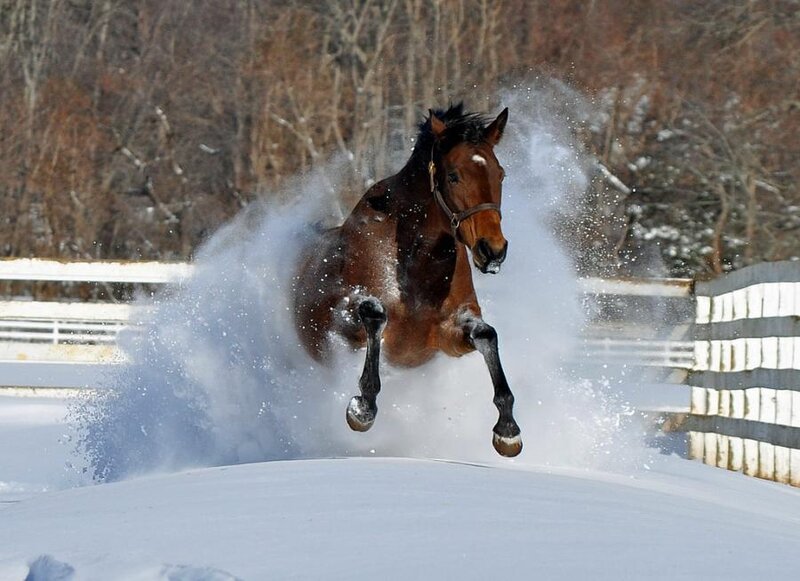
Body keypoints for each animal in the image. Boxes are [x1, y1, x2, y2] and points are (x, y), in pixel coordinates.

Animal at [292, 103, 521, 457]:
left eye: (500, 174)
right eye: (453, 175)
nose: (493, 250)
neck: (415, 260)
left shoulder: (448, 334)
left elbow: (487, 335)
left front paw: (507, 430)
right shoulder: (345, 320)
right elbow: (375, 315)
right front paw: (362, 408)